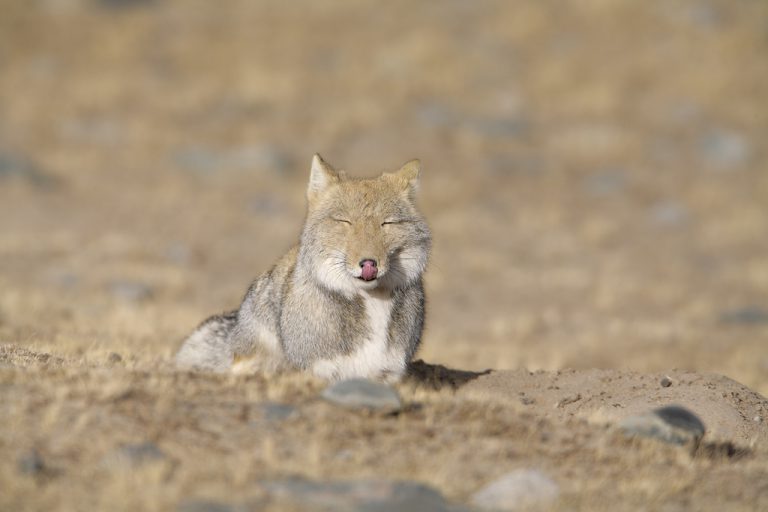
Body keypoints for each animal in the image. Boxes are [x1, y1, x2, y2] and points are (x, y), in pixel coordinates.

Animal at [175, 154, 432, 383]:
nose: (369, 263)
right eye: (345, 222)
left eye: (387, 223)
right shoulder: (319, 370)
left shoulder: (388, 373)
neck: (372, 305)